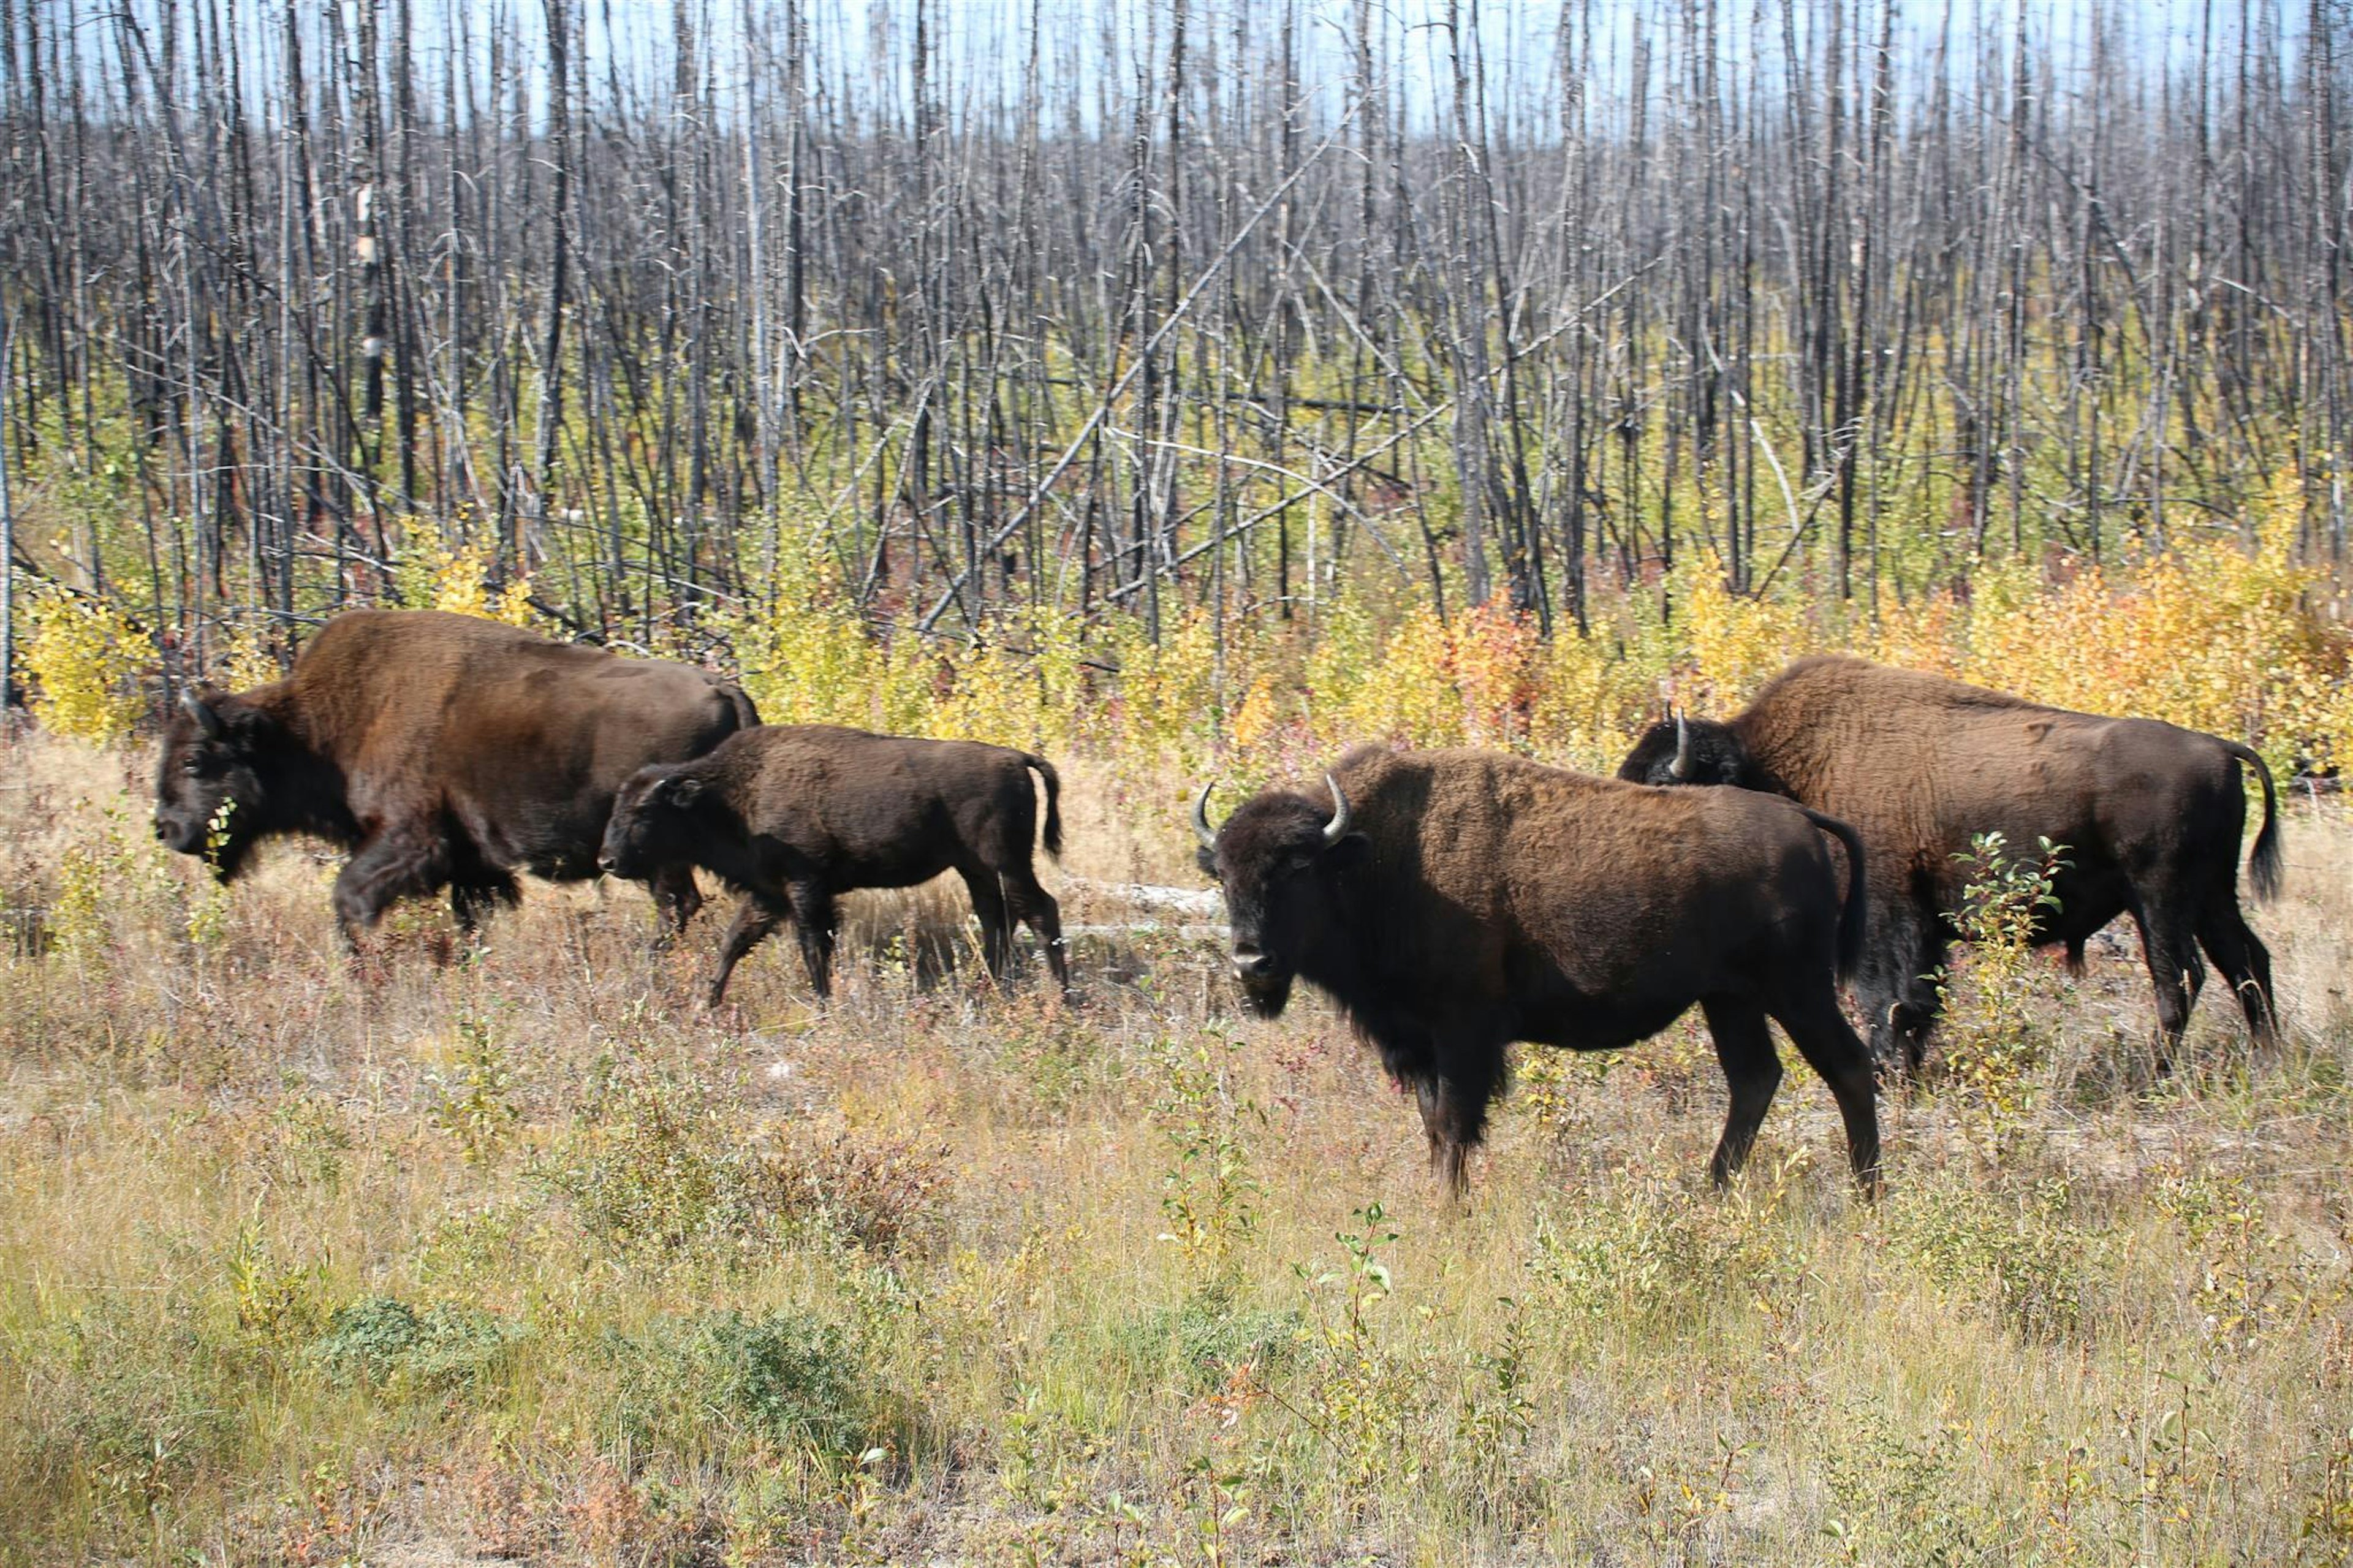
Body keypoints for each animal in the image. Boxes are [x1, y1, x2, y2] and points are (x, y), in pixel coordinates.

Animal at [151, 607, 757, 941]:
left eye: (194, 760)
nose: (165, 827)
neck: (318, 725)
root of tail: (722, 687)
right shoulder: (473, 863)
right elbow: (471, 918)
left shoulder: (410, 837)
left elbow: (350, 898)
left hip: (659, 856)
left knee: (677, 907)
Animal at [593, 720, 1073, 1002]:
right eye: (617, 805)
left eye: (645, 811)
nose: (607, 861)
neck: (730, 793)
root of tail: (1015, 757)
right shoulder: (769, 892)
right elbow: (736, 941)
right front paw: (706, 1003)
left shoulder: (805, 887)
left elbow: (813, 944)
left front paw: (823, 1003)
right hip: (976, 869)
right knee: (997, 916)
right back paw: (992, 987)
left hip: (1006, 863)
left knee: (1040, 910)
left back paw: (1061, 995)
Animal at [1186, 744, 1882, 1195]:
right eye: (1223, 874)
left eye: (1298, 868)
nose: (1251, 961)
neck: (1374, 860)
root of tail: (1801, 818)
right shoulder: (1417, 1042)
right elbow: (1434, 1128)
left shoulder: (1462, 1033)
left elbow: (1453, 1126)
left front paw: (1449, 1211)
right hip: (1729, 998)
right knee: (1754, 1079)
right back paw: (1710, 1191)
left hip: (1796, 988)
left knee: (1846, 1067)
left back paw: (1867, 1196)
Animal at [1618, 654, 2278, 1069]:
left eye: (1664, 787)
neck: (1778, 769)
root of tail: (2221, 748)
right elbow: (1920, 998)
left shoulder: (1888, 915)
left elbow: (1890, 996)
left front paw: (1888, 1071)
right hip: (2211, 894)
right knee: (2246, 961)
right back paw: (2266, 1057)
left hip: (2159, 896)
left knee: (2180, 976)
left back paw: (2157, 1071)